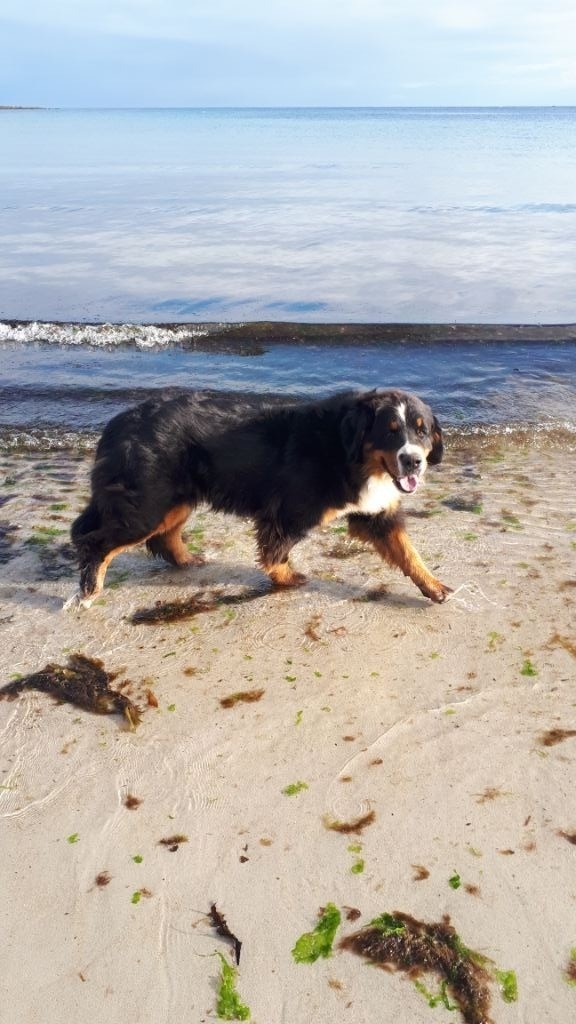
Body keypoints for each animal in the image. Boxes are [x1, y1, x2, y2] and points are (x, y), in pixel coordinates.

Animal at [69, 388, 451, 607]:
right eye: (389, 431)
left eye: (421, 431)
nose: (413, 461)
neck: (350, 453)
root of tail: (118, 423)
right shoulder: (289, 512)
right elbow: (275, 553)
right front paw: (287, 579)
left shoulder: (377, 514)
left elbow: (408, 553)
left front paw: (434, 587)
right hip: (148, 504)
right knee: (97, 542)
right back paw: (89, 590)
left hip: (174, 501)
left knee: (163, 538)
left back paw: (187, 559)